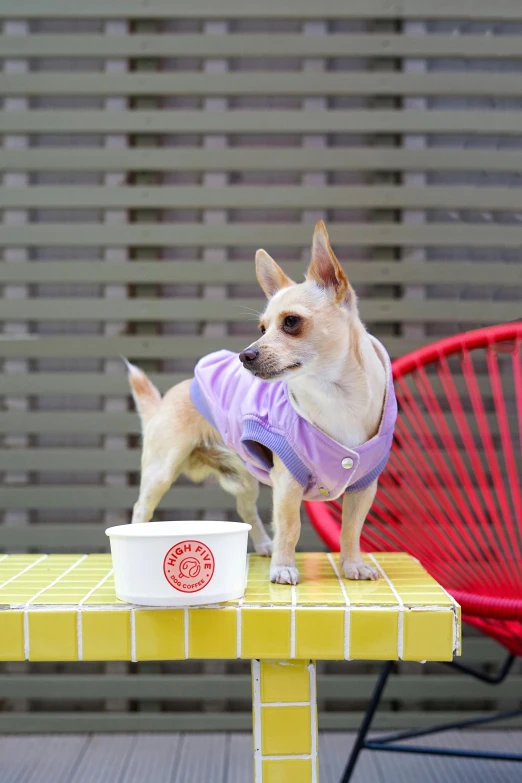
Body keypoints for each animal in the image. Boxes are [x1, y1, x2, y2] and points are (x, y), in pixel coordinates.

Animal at [126, 220, 394, 580]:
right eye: (262, 328)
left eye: (291, 322)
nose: (245, 355)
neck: (334, 394)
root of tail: (166, 400)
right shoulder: (288, 482)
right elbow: (290, 526)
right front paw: (284, 568)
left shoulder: (364, 487)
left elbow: (351, 529)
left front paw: (353, 565)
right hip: (161, 470)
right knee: (142, 507)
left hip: (243, 477)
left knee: (247, 510)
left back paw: (265, 545)